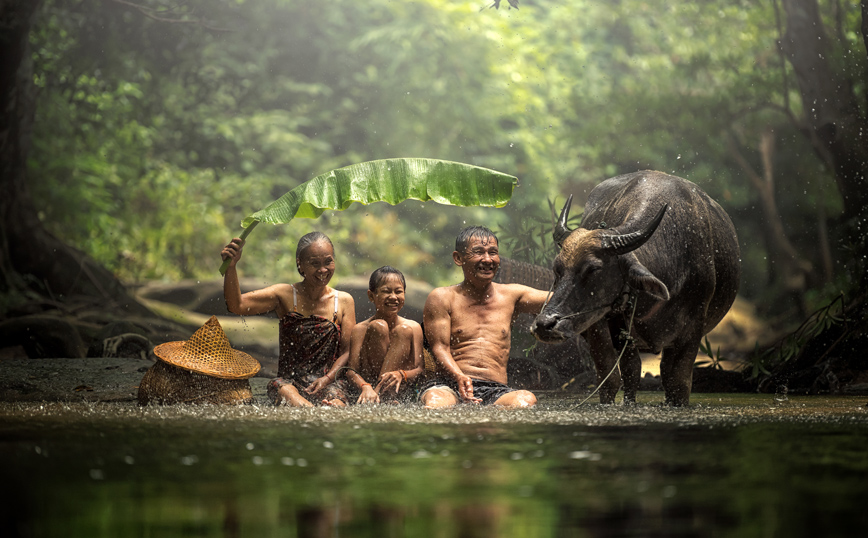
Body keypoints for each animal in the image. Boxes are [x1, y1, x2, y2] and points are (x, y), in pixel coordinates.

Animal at [528, 170, 740, 404]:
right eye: (557, 268)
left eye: (593, 269)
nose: (544, 324)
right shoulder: (598, 323)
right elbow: (610, 379)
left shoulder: (692, 330)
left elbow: (679, 385)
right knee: (632, 372)